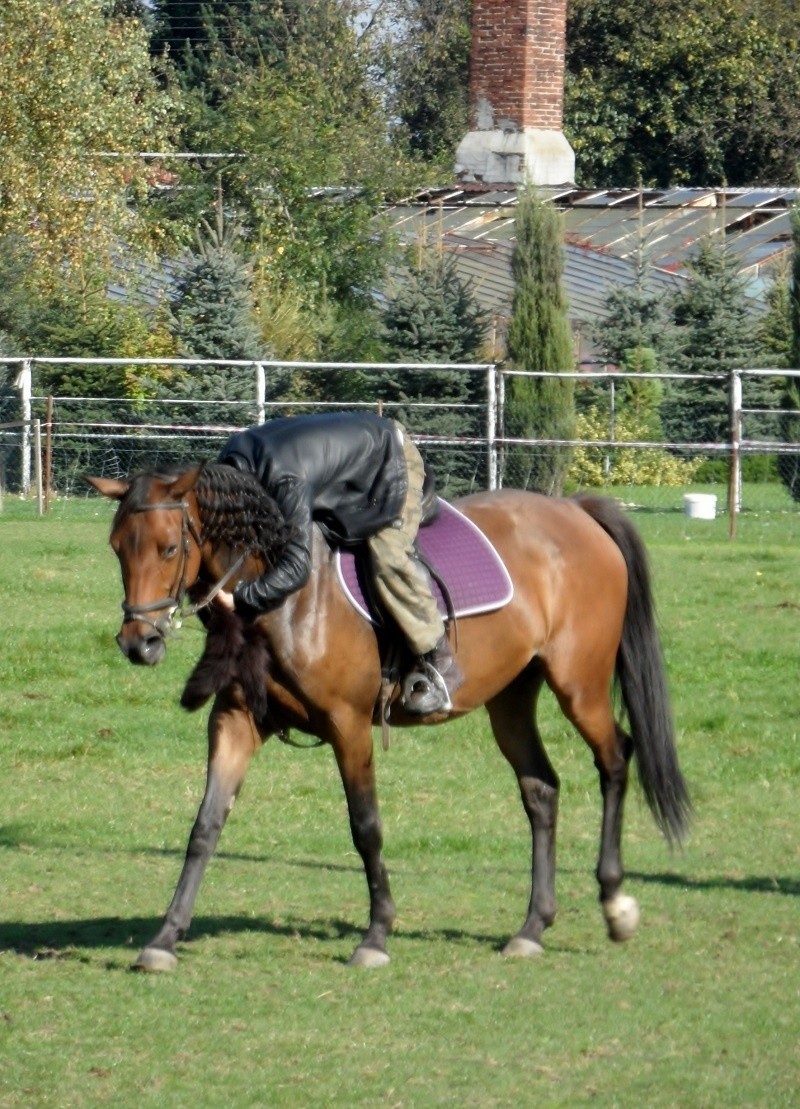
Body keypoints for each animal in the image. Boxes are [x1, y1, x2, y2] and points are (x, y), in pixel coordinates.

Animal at [85, 465, 687, 971]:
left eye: (168, 548)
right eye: (116, 549)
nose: (137, 643)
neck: (285, 593)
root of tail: (576, 510)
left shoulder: (348, 726)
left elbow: (365, 827)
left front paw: (375, 936)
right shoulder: (235, 721)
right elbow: (205, 825)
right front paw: (165, 938)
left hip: (579, 685)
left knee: (615, 760)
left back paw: (614, 902)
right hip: (511, 698)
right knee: (541, 789)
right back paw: (532, 927)